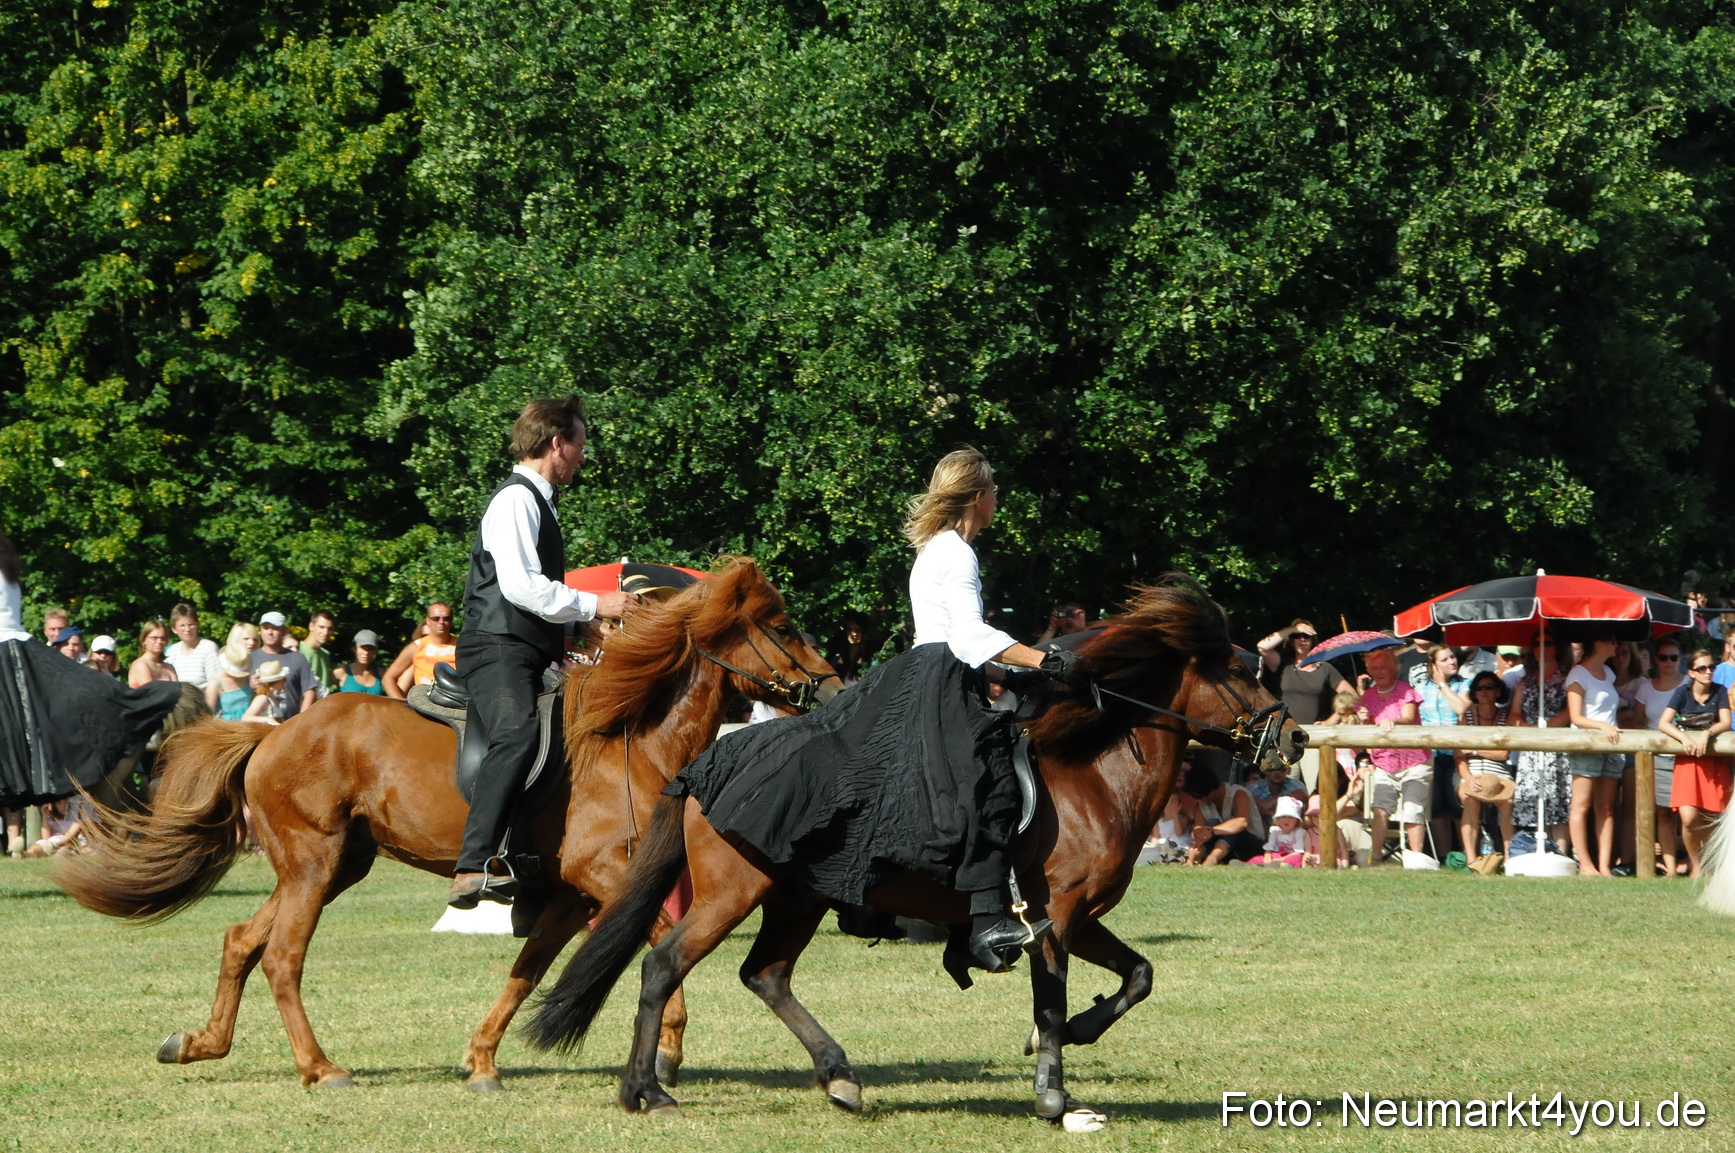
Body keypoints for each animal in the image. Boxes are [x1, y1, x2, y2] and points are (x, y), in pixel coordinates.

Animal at [57, 558, 837, 1091]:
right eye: (783, 627)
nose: (832, 688)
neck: (631, 737)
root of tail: (274, 733)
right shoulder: (606, 878)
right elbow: (657, 942)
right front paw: (668, 1050)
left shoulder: (567, 895)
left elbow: (526, 972)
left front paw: (483, 1059)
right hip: (314, 862)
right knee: (281, 957)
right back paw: (320, 1066)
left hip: (335, 865)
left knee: (241, 941)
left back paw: (200, 1043)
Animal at [519, 577, 1307, 1124]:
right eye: (1240, 673)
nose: (1295, 738)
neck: (1092, 774)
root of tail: (704, 764)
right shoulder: (1052, 917)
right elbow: (1051, 1000)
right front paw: (1052, 1093)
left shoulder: (1082, 918)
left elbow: (1138, 974)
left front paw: (1077, 1034)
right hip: (731, 892)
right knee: (663, 965)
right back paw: (646, 1090)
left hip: (798, 897)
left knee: (765, 975)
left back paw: (838, 1076)